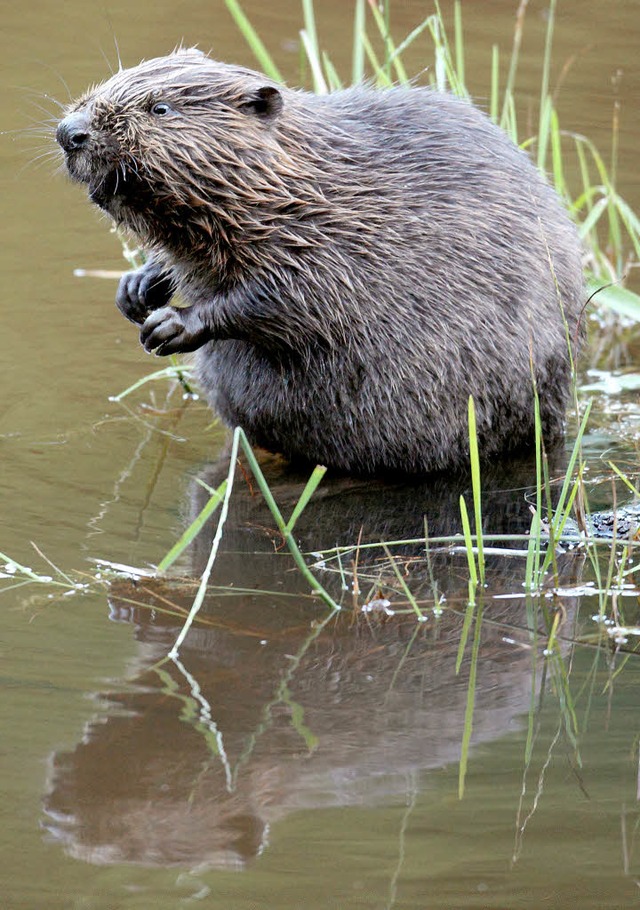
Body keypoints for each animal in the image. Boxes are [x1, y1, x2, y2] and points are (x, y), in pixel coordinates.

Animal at [56, 48, 584, 478]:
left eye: (160, 109)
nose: (70, 132)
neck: (301, 181)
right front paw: (136, 289)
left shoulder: (332, 241)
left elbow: (292, 299)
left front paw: (170, 325)